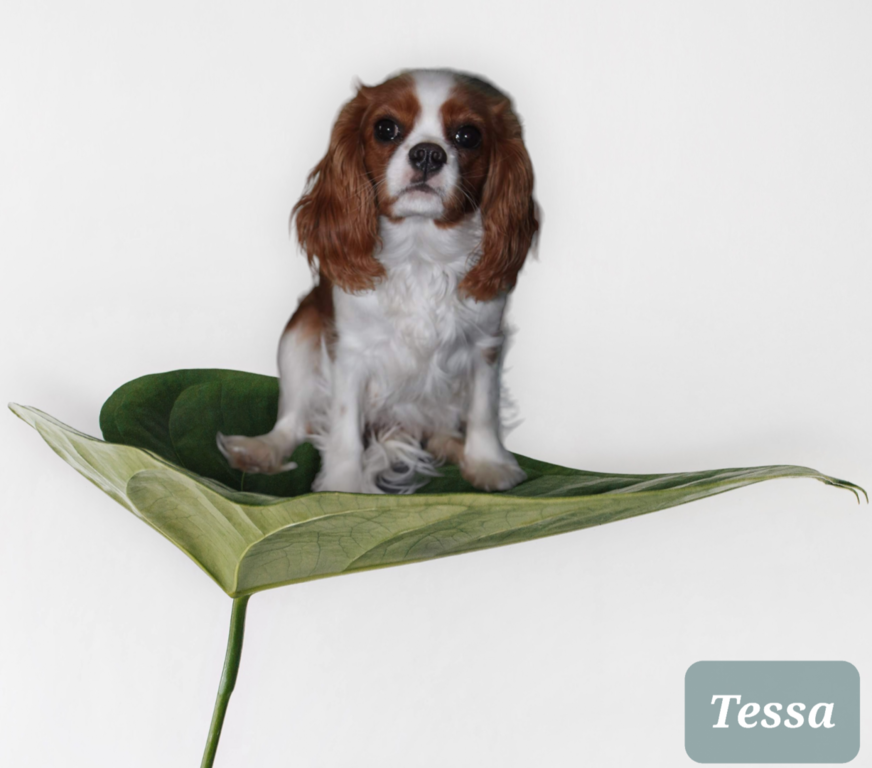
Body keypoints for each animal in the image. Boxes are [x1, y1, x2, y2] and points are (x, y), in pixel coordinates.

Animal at [217, 69, 539, 494]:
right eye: (386, 128)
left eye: (468, 135)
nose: (428, 153)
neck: (420, 251)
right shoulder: (350, 352)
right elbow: (343, 422)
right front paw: (343, 485)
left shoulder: (485, 343)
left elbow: (484, 409)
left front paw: (489, 463)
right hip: (298, 334)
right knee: (293, 420)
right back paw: (262, 450)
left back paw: (451, 445)